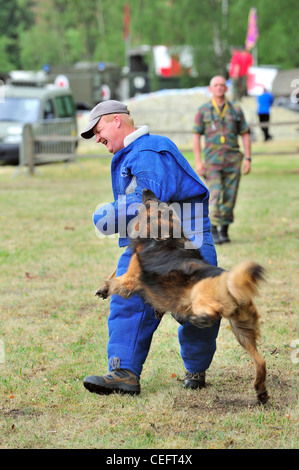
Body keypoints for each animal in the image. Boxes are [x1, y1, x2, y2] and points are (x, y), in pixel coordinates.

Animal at [96, 188, 270, 404]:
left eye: (154, 202)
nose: (146, 189)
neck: (166, 237)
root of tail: (231, 282)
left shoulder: (131, 279)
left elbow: (115, 282)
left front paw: (104, 288)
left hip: (201, 296)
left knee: (211, 312)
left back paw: (198, 318)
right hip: (243, 331)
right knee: (261, 361)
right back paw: (261, 391)